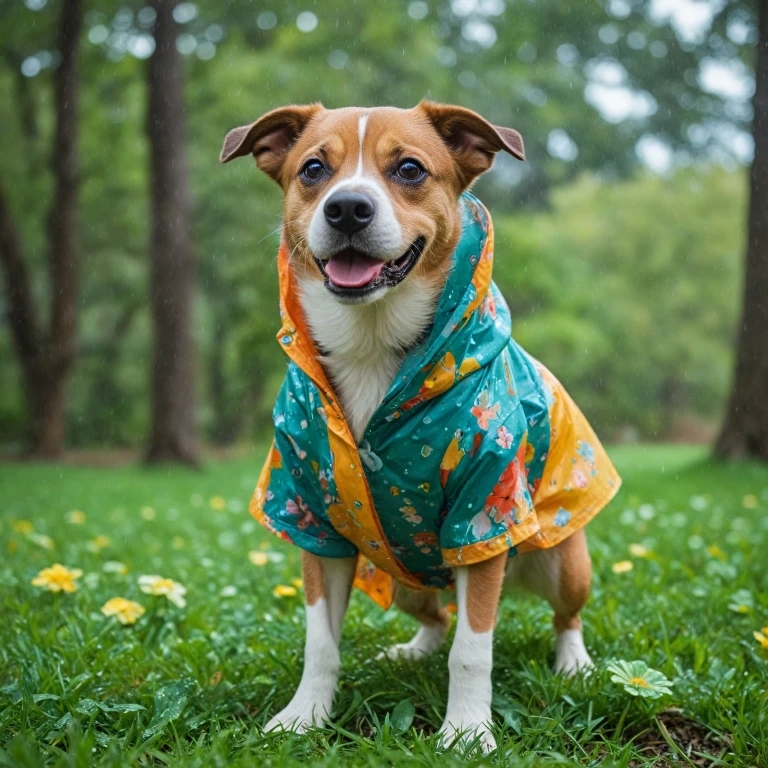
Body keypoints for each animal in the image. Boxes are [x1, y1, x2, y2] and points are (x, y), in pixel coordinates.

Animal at [219, 102, 620, 752]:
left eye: (409, 168)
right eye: (313, 169)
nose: (347, 208)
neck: (373, 347)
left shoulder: (481, 518)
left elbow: (472, 652)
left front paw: (467, 731)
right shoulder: (313, 520)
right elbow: (320, 644)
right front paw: (304, 717)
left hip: (562, 563)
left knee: (565, 615)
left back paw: (574, 662)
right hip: (401, 579)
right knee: (437, 616)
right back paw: (411, 651)